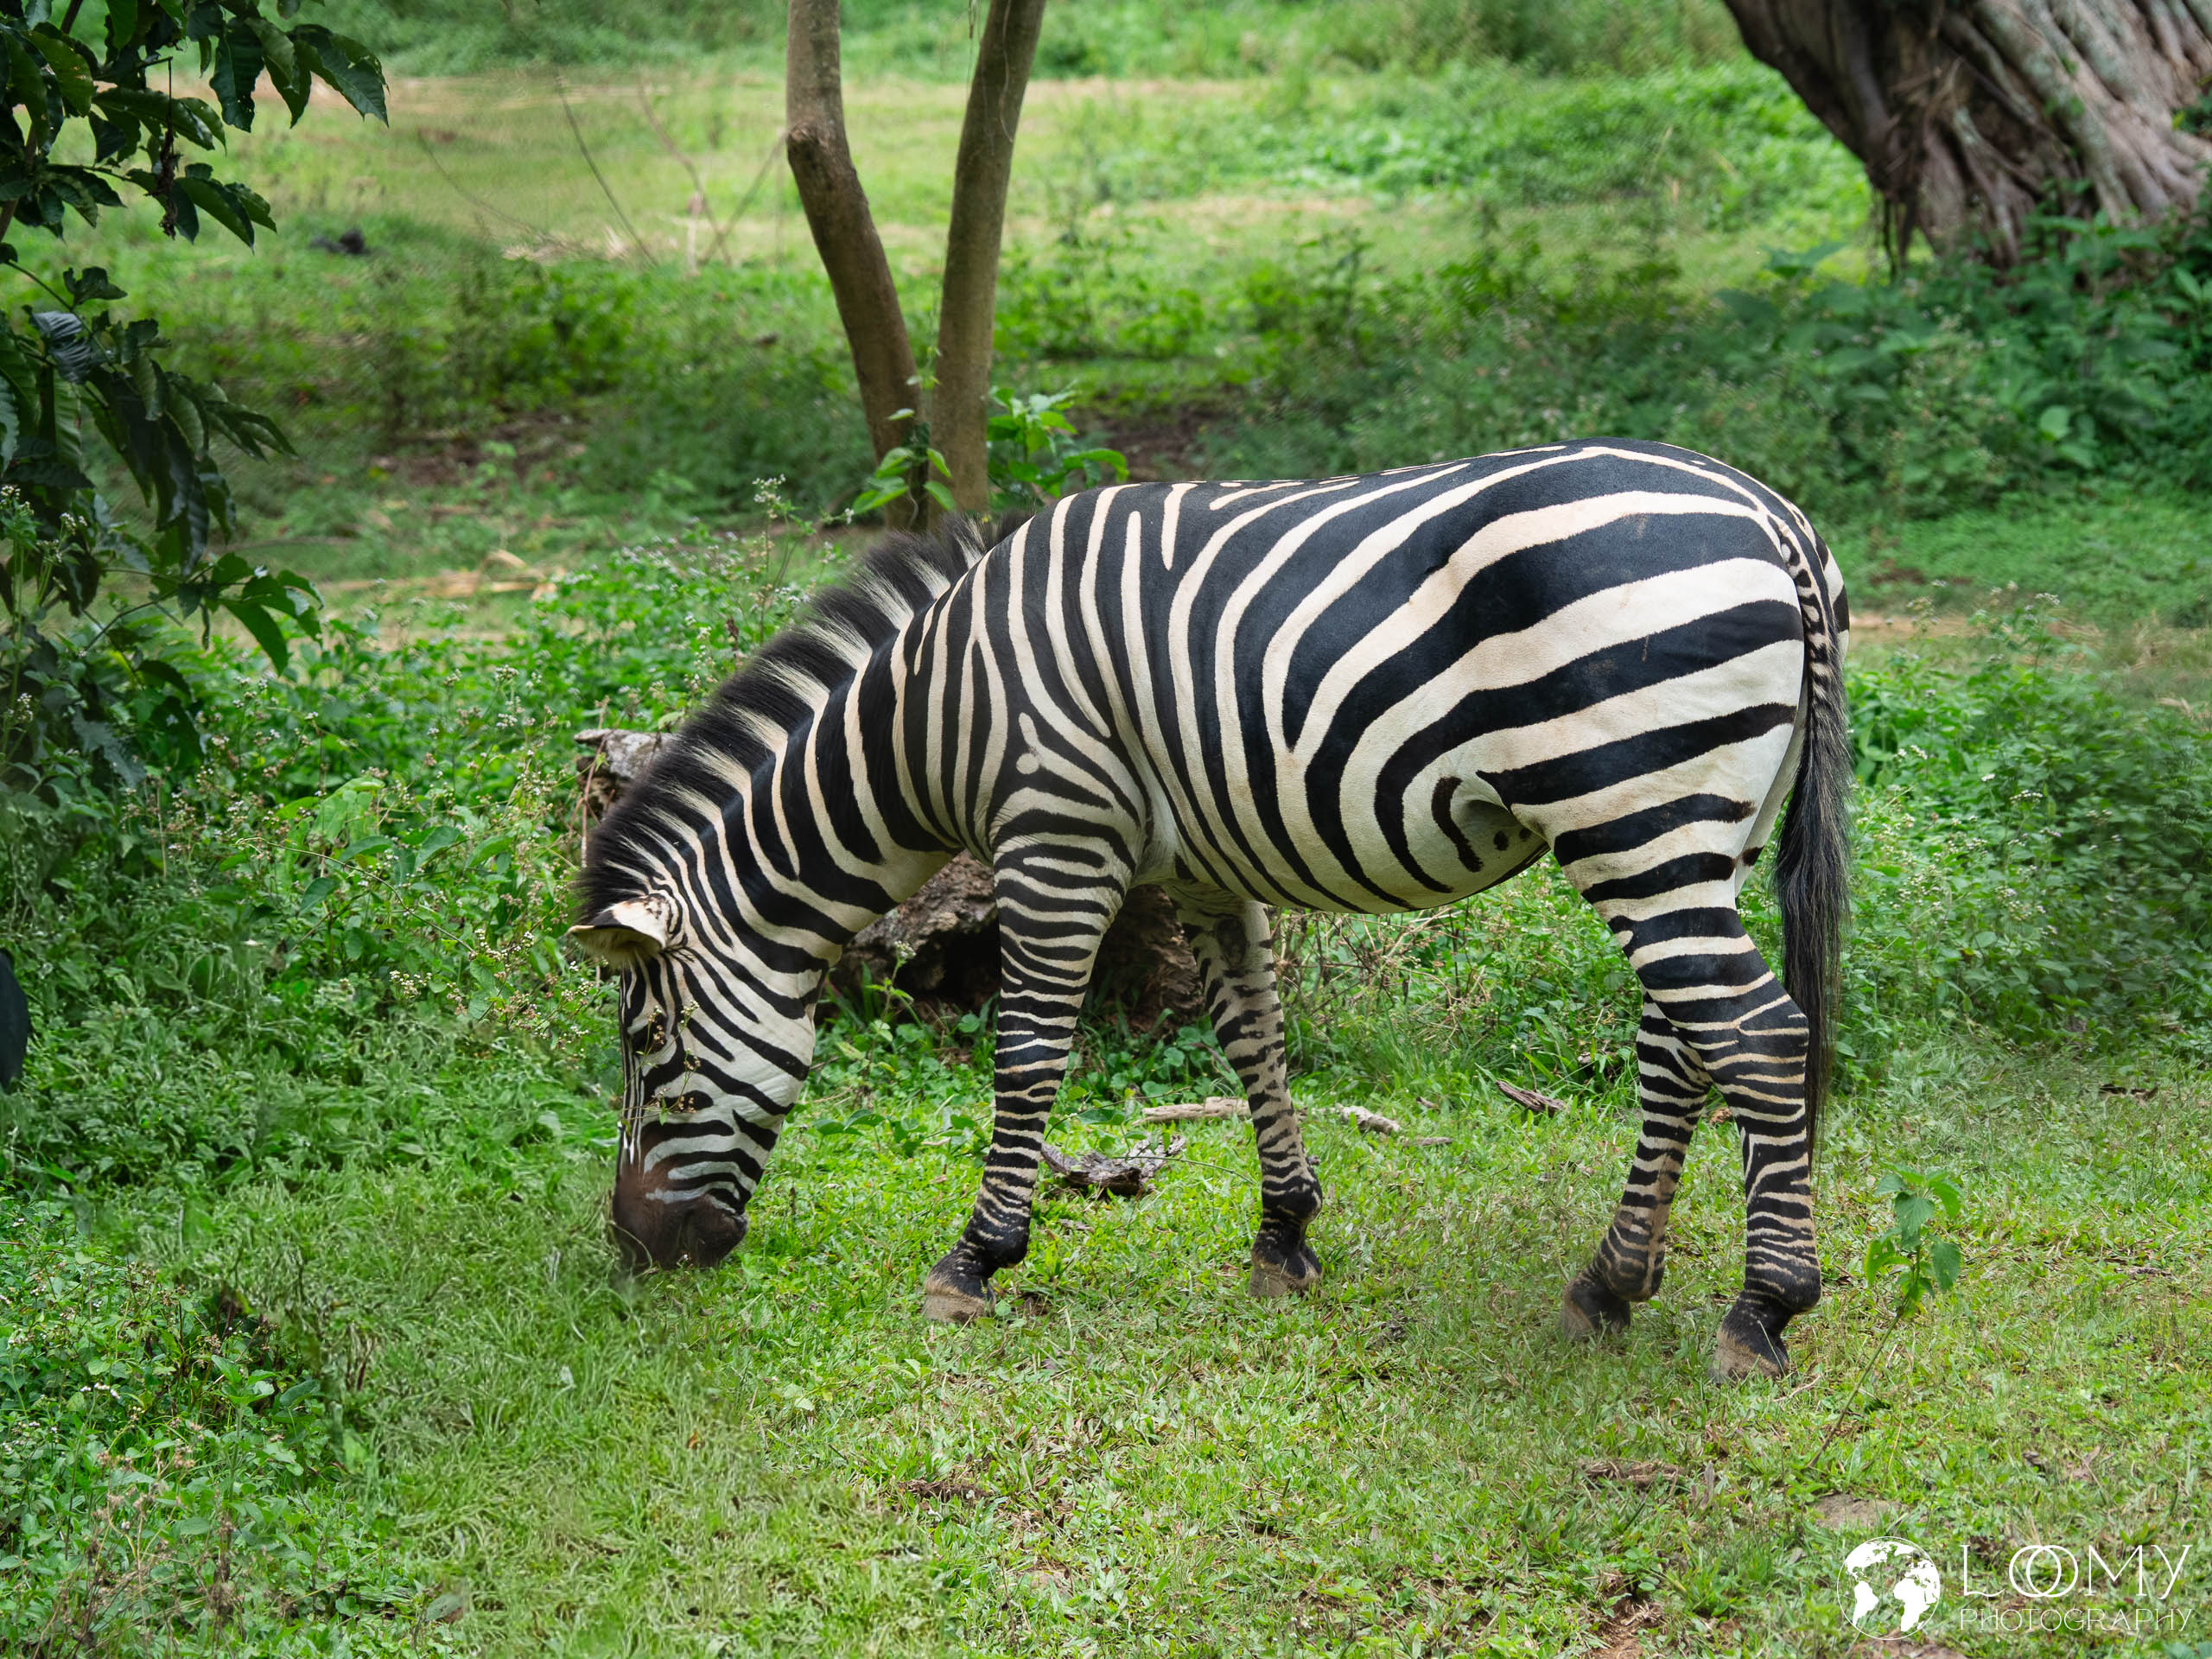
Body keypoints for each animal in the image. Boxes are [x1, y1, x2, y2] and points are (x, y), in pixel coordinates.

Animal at [571, 438, 1849, 1382]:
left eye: (647, 1046)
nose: (631, 1254)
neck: (936, 712)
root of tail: (1774, 517)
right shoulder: (1204, 866)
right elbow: (1251, 1038)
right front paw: (1286, 1235)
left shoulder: (1055, 833)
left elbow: (1028, 1053)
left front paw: (976, 1259)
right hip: (1701, 827)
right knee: (1683, 1044)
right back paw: (1609, 1285)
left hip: (1633, 805)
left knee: (1757, 1035)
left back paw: (1763, 1310)